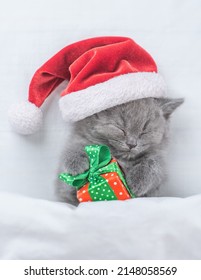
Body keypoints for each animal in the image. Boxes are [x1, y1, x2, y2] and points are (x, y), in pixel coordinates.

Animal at [56, 97, 184, 205]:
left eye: (144, 131)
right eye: (120, 128)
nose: (132, 144)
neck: (121, 158)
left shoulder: (160, 162)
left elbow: (154, 163)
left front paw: (137, 182)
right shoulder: (80, 138)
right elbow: (74, 148)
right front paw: (77, 165)